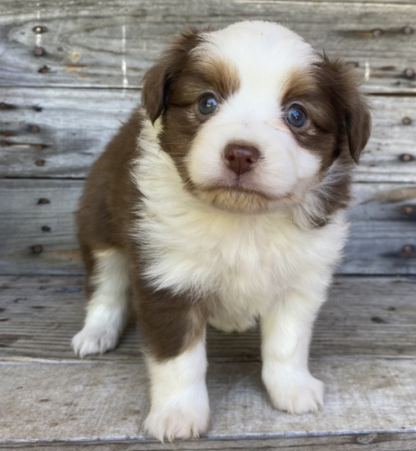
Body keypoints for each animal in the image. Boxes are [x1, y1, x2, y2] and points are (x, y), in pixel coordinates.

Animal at [71, 20, 370, 442]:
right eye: (206, 103)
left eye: (297, 115)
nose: (241, 154)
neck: (243, 220)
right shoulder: (168, 277)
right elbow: (179, 359)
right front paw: (178, 414)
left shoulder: (302, 277)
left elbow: (287, 343)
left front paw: (291, 387)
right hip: (100, 221)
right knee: (106, 286)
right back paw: (97, 332)